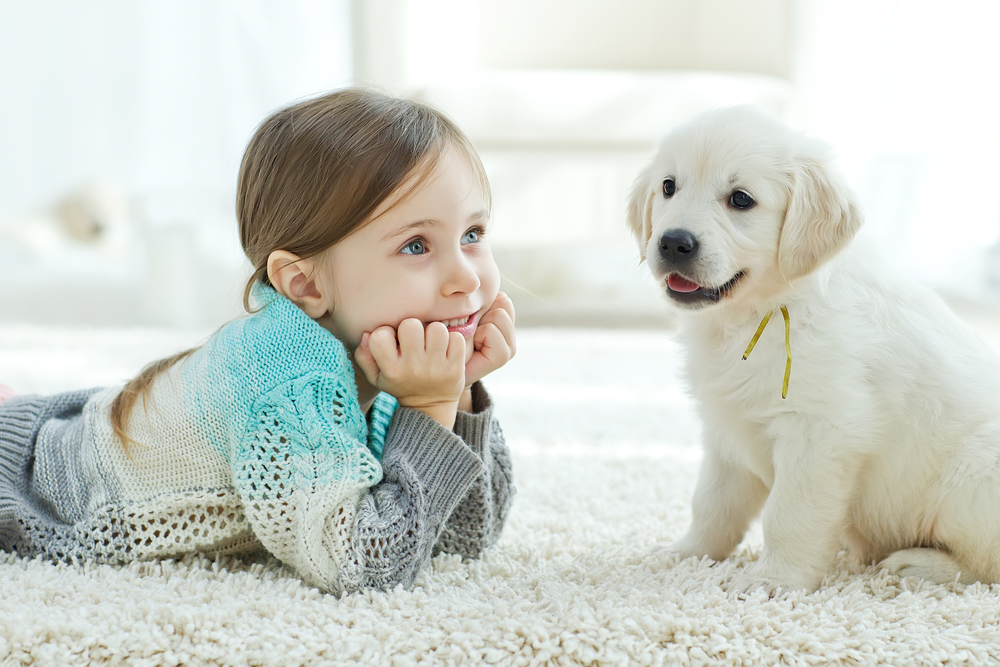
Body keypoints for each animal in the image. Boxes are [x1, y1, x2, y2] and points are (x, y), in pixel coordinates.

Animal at [628, 105, 1000, 596]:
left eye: (741, 199)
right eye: (668, 187)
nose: (673, 241)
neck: (760, 313)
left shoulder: (820, 432)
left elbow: (789, 514)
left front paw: (775, 580)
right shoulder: (726, 429)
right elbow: (711, 502)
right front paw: (687, 553)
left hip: (972, 471)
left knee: (986, 564)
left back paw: (917, 565)